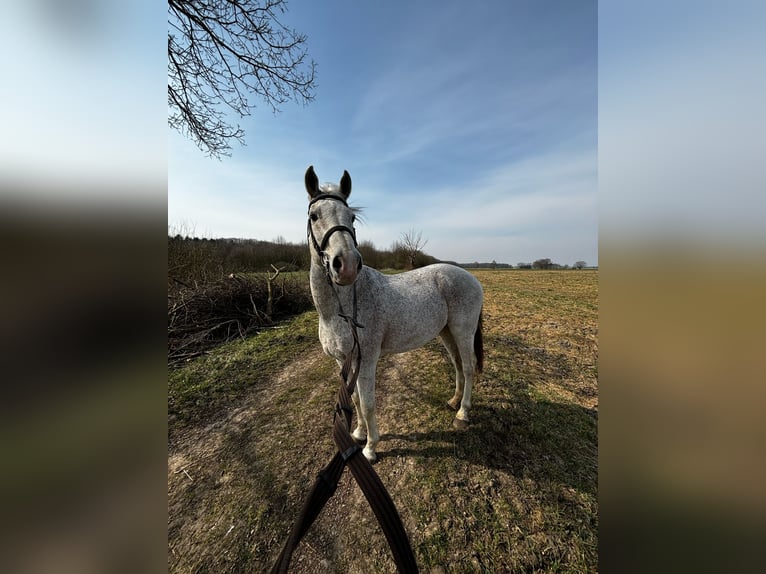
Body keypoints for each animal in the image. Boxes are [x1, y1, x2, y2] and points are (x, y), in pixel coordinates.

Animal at [304, 165, 484, 463]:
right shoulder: (342, 361)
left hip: (463, 330)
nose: (346, 265)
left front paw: (370, 448)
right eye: (314, 216)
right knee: (458, 364)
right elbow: (354, 400)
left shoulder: (366, 361)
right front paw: (357, 434)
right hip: (446, 332)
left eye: (352, 217)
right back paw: (453, 402)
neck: (341, 310)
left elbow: (367, 404)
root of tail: (470, 277)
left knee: (469, 367)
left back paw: (462, 413)